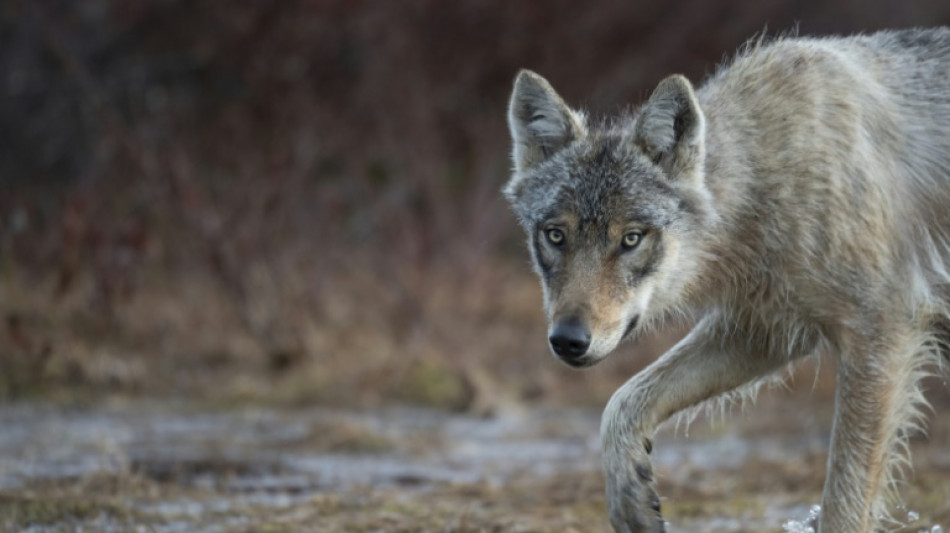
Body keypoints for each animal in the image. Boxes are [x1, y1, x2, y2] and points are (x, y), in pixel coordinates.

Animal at [510, 29, 950, 532]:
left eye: (631, 239)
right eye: (555, 235)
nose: (567, 339)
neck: (768, 177)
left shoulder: (881, 336)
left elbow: (844, 503)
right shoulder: (764, 330)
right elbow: (620, 404)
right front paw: (633, 505)